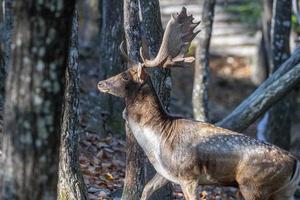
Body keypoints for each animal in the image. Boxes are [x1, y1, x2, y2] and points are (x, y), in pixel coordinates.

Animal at [98, 7, 300, 200]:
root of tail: (295, 161)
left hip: (253, 185)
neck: (158, 140)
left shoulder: (189, 174)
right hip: (284, 191)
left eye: (125, 76)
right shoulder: (165, 173)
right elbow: (146, 189)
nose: (101, 83)